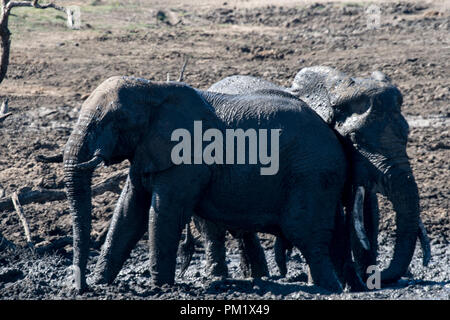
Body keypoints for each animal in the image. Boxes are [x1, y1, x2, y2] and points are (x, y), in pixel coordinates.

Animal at [64, 75, 356, 292]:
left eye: (115, 120)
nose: (80, 286)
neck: (153, 90)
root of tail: (334, 135)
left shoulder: (189, 157)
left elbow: (164, 213)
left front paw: (160, 288)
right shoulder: (146, 150)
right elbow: (128, 212)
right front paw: (101, 284)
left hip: (312, 174)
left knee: (306, 235)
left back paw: (327, 289)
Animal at [203, 65, 428, 284]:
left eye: (407, 133)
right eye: (355, 138)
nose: (378, 275)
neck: (333, 93)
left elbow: (367, 214)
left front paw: (362, 283)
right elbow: (340, 218)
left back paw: (257, 276)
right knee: (215, 230)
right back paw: (222, 276)